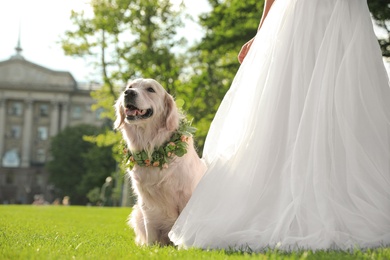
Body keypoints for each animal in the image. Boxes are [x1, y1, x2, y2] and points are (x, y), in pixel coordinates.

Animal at [114, 77, 206, 246]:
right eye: (130, 86)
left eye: (150, 89)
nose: (128, 93)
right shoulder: (147, 202)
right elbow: (151, 227)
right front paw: (151, 249)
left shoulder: (186, 194)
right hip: (137, 212)